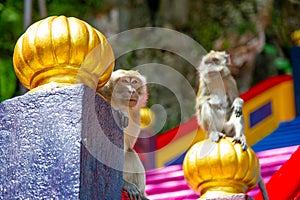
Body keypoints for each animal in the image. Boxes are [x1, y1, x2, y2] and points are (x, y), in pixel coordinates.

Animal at [98, 69, 149, 200]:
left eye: (135, 82)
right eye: (125, 81)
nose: (132, 90)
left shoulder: (136, 115)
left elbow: (127, 145)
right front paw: (120, 113)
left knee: (130, 152)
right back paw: (124, 184)